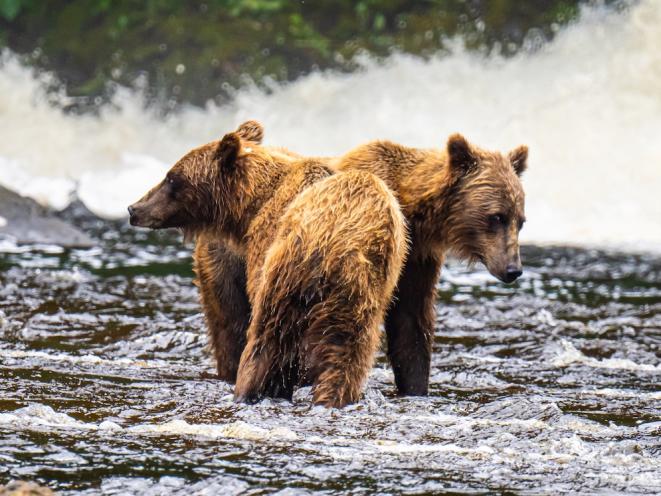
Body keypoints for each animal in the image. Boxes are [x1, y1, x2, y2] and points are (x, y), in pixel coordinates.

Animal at [128, 127, 407, 407]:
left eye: (171, 178)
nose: (134, 208)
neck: (251, 207)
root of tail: (346, 243)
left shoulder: (264, 246)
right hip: (361, 299)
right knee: (345, 354)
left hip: (288, 276)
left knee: (267, 339)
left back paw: (247, 390)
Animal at [193, 123, 528, 396]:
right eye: (496, 216)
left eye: (520, 220)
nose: (513, 269)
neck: (413, 210)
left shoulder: (415, 258)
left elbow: (411, 325)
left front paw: (416, 387)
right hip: (228, 267)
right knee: (234, 328)